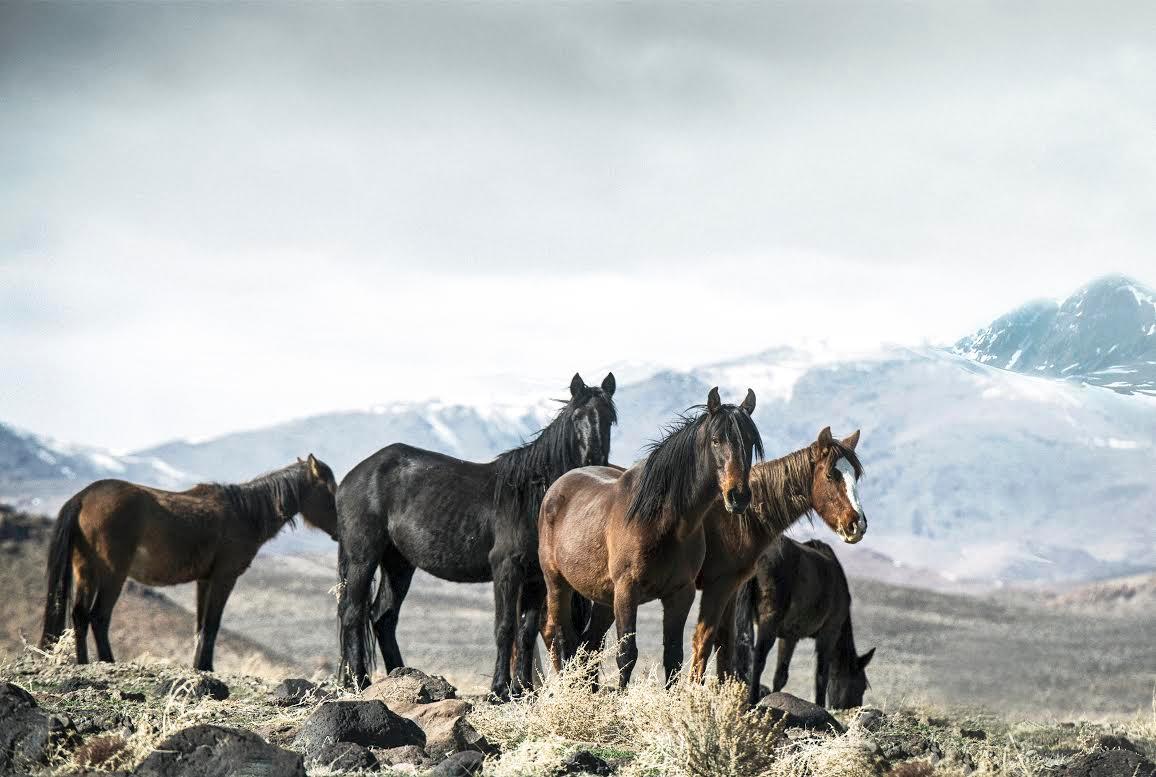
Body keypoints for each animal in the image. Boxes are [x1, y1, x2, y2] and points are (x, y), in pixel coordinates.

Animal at [40, 453, 337, 670]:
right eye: (330, 489)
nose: (339, 530)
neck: (244, 513)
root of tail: (83, 497)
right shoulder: (224, 578)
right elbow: (212, 624)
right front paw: (206, 667)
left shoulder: (204, 580)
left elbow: (201, 626)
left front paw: (199, 666)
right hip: (113, 574)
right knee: (99, 616)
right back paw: (107, 662)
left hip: (86, 571)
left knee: (79, 614)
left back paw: (83, 663)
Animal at [337, 372, 619, 698]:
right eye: (577, 417)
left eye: (610, 418)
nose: (594, 459)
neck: (533, 496)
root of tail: (352, 477)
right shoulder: (506, 568)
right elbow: (505, 627)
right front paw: (499, 689)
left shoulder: (535, 577)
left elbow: (526, 631)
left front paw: (523, 689)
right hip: (363, 558)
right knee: (353, 615)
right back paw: (358, 681)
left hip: (399, 563)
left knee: (383, 617)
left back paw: (400, 676)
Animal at [538, 386, 762, 684]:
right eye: (716, 440)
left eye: (750, 442)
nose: (738, 496)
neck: (663, 522)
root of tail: (556, 488)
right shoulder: (627, 590)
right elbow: (626, 655)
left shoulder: (680, 594)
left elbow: (673, 658)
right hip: (558, 583)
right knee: (561, 637)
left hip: (604, 598)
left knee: (589, 643)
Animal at [735, 536, 869, 707]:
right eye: (861, 686)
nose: (854, 709)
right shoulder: (829, 634)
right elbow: (822, 676)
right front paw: (820, 705)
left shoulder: (789, 637)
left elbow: (780, 675)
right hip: (769, 621)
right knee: (758, 658)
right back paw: (752, 700)